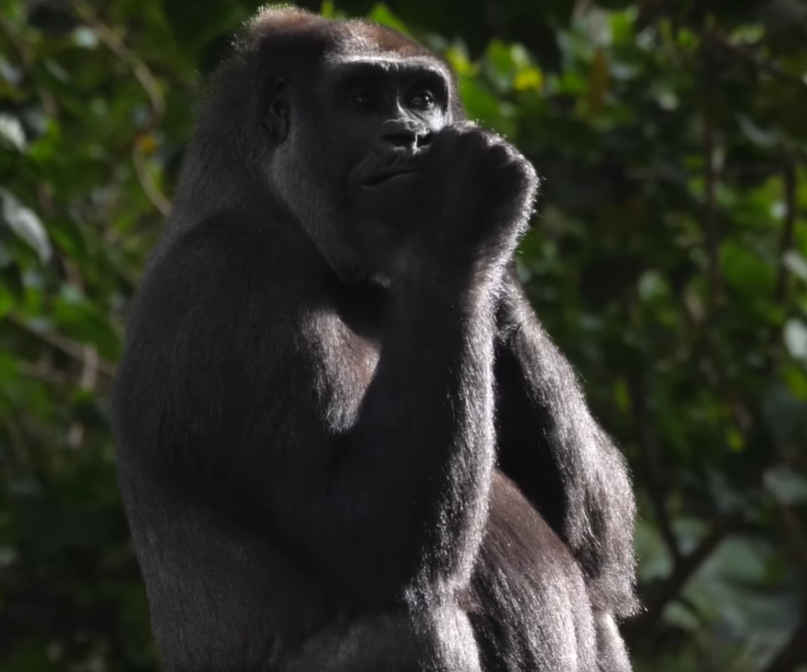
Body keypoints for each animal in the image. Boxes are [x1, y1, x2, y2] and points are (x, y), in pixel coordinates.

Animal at [113, 6, 640, 672]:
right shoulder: (230, 277)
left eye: (422, 99)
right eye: (361, 100)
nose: (409, 136)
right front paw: (462, 209)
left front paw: (498, 277)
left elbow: (603, 546)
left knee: (598, 600)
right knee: (413, 619)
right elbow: (365, 534)